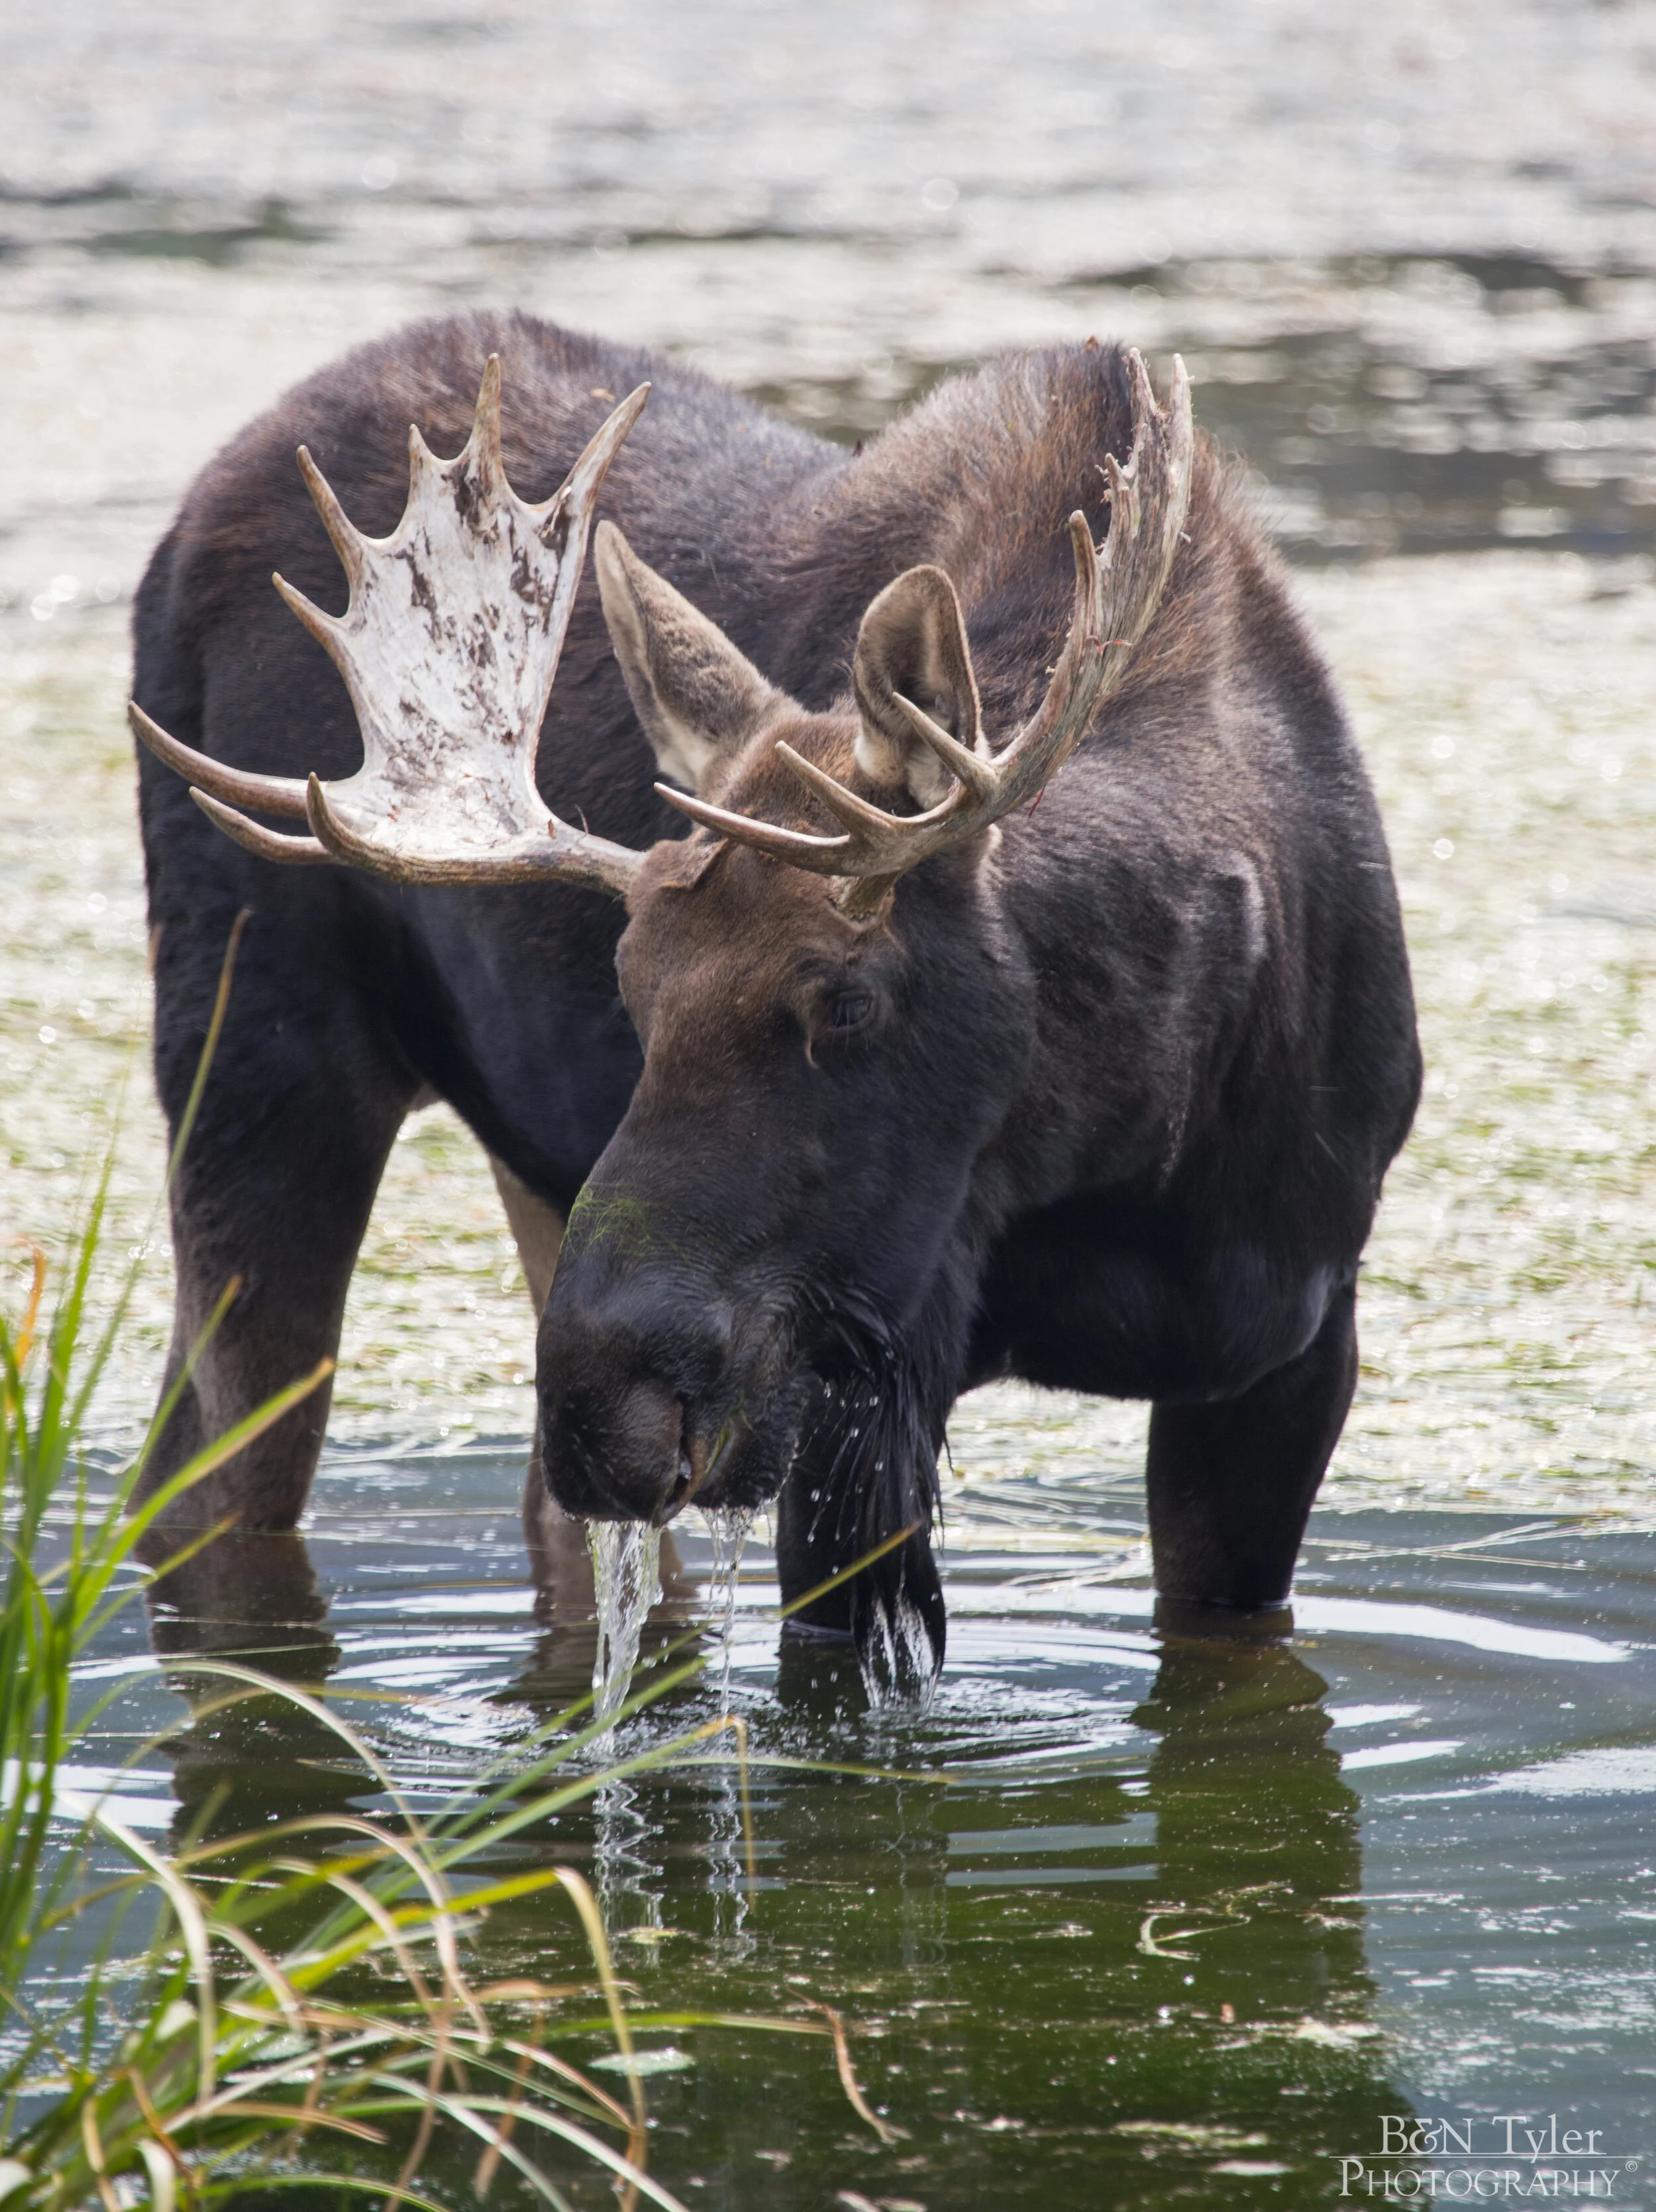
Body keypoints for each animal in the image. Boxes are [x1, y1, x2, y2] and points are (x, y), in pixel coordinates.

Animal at [131, 310, 1420, 1694]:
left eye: (848, 1003)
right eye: (633, 987)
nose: (605, 1403)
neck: (1147, 1120)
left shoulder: (1294, 1353)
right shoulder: (855, 1383)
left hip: (521, 1177)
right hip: (254, 1060)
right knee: (203, 1473)